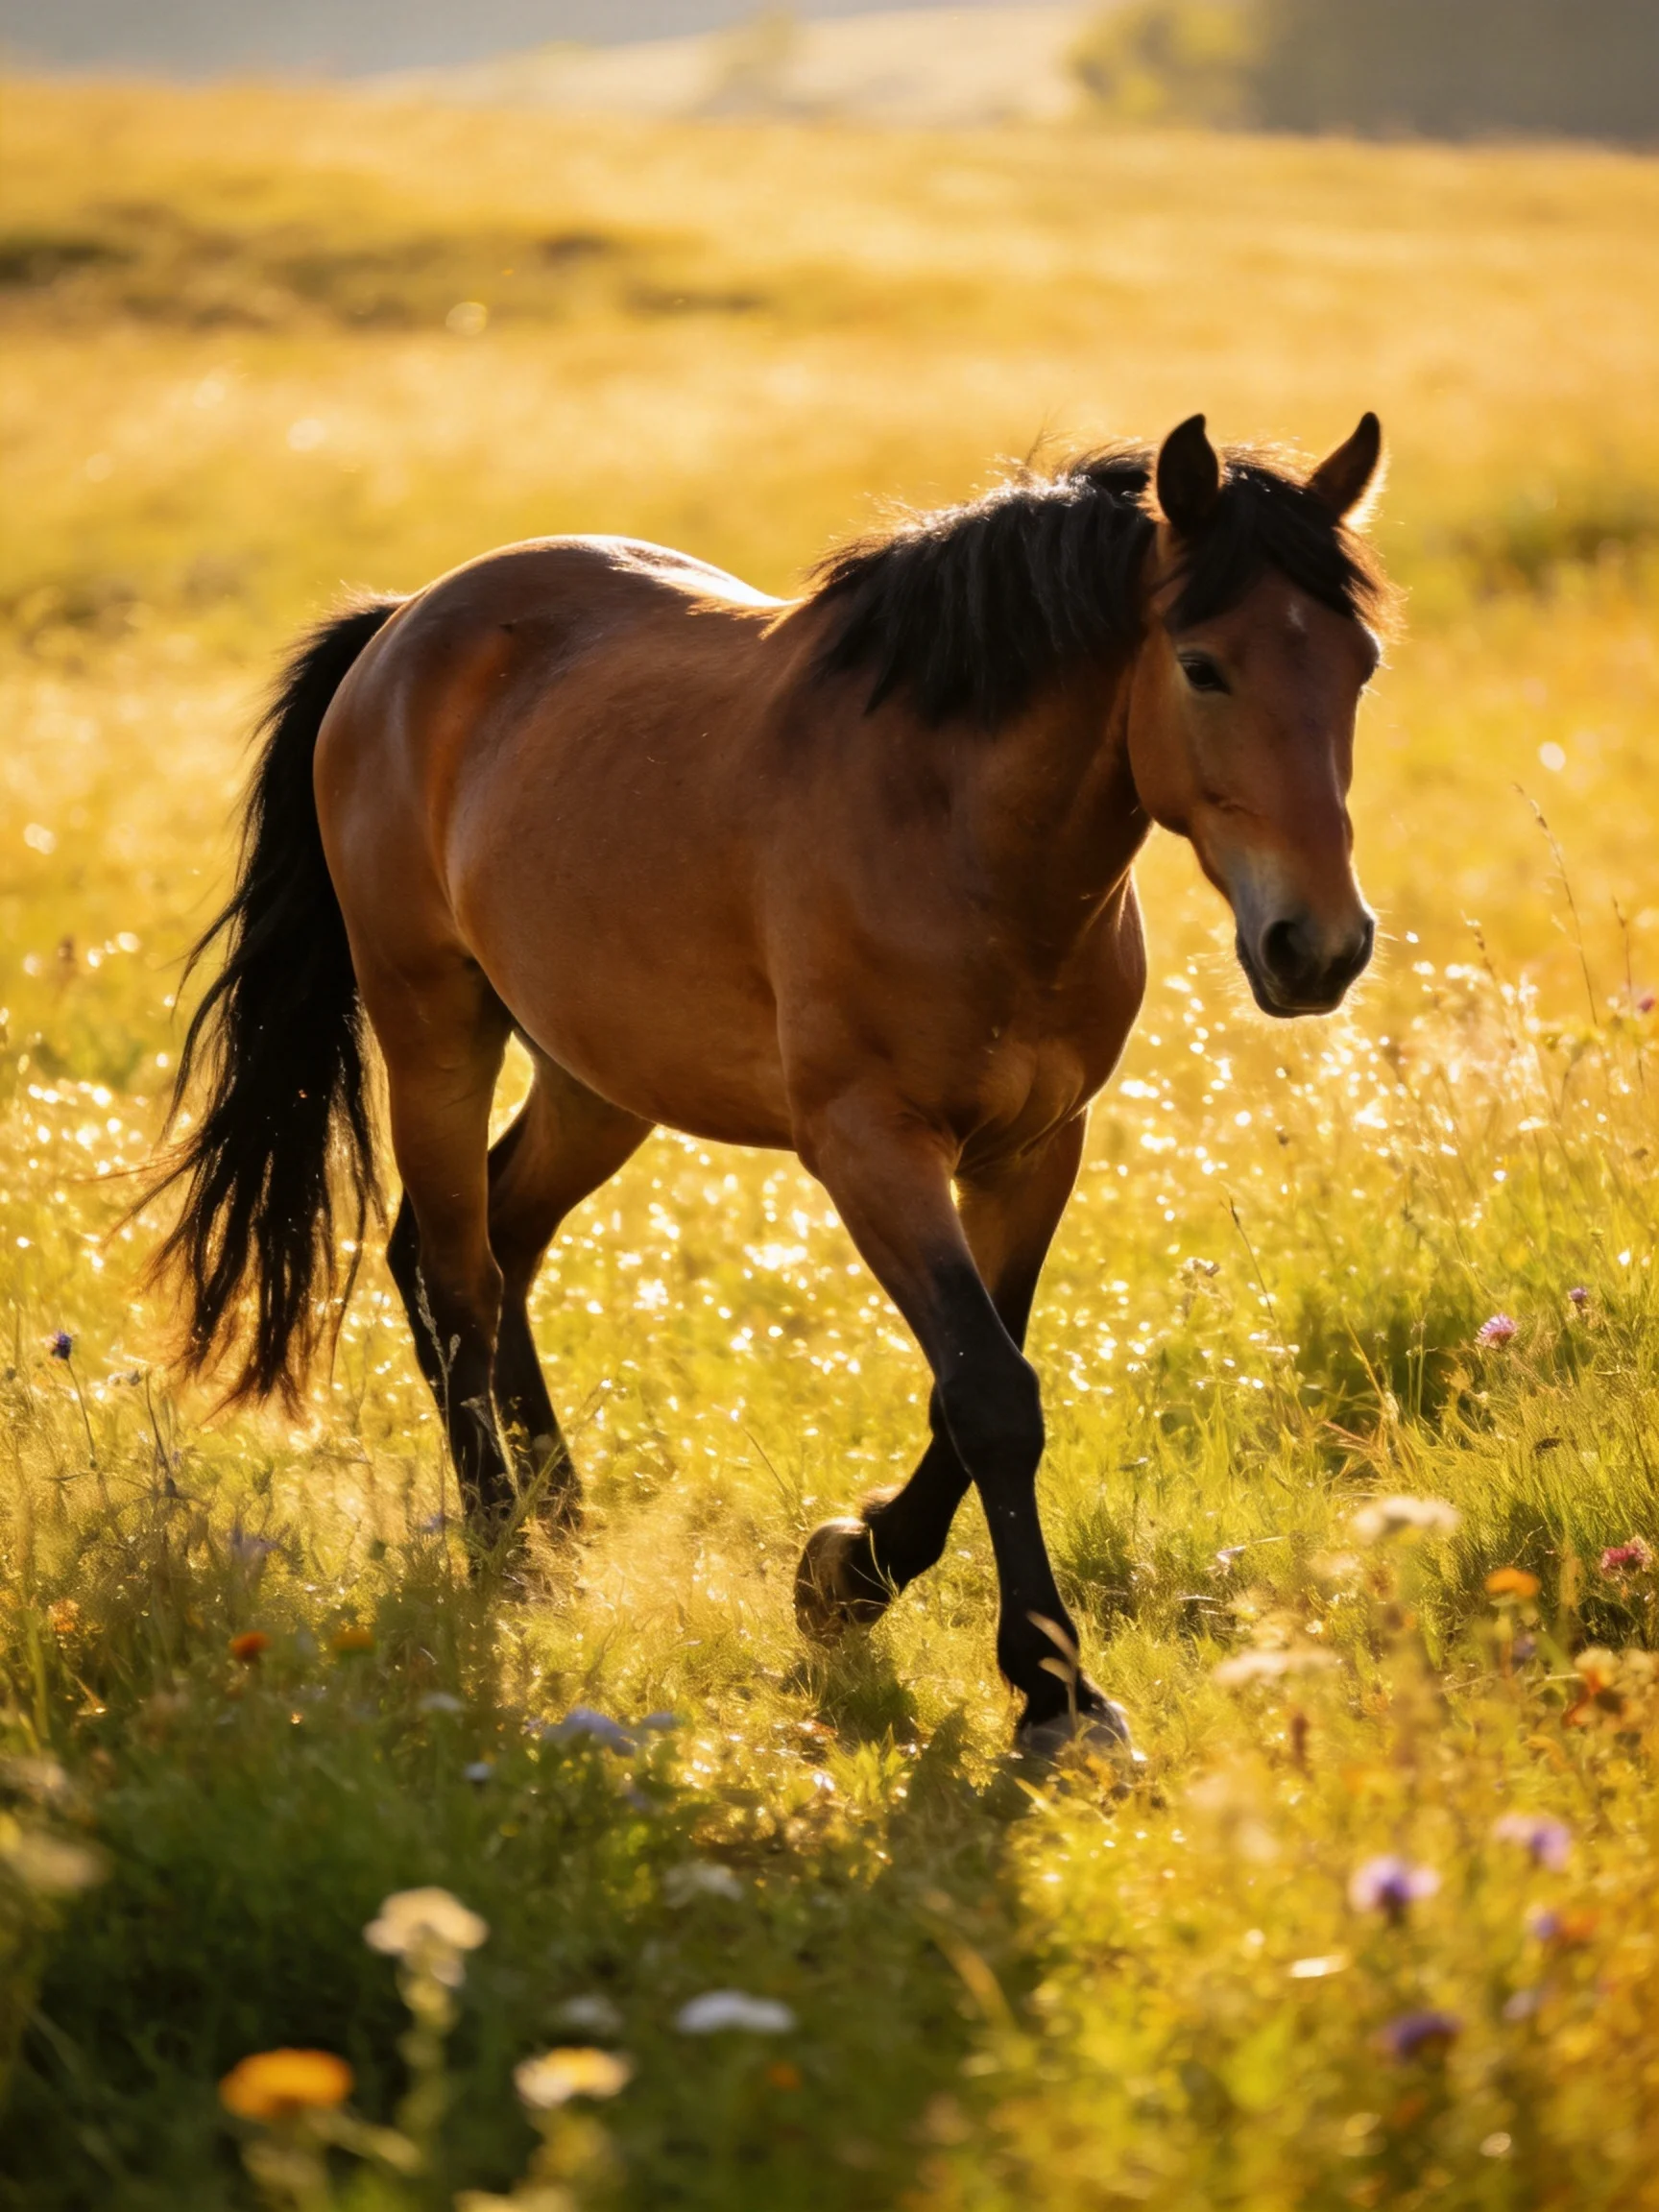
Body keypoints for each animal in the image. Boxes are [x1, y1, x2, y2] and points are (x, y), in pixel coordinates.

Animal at [148, 411, 1387, 1756]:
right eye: (1204, 667)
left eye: (1361, 665)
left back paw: (558, 1520)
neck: (957, 834)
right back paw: (504, 1555)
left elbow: (978, 1380)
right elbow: (992, 1394)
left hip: (597, 1075)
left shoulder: (1035, 1148)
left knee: (492, 1242)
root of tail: (402, 626)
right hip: (434, 1025)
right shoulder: (871, 1148)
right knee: (456, 1275)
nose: (1318, 947)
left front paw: (851, 1576)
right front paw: (1050, 1688)